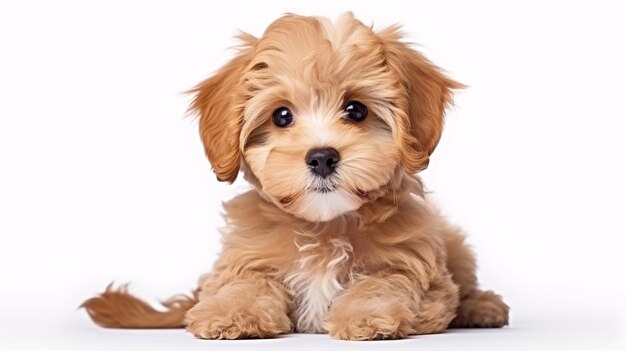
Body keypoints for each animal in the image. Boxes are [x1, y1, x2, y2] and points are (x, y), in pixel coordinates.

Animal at [81, 13, 508, 340]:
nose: (321, 157)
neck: (324, 226)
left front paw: (366, 313)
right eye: (282, 116)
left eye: (356, 110)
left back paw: (483, 306)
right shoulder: (245, 258)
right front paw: (230, 313)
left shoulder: (416, 264)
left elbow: (386, 282)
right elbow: (245, 284)